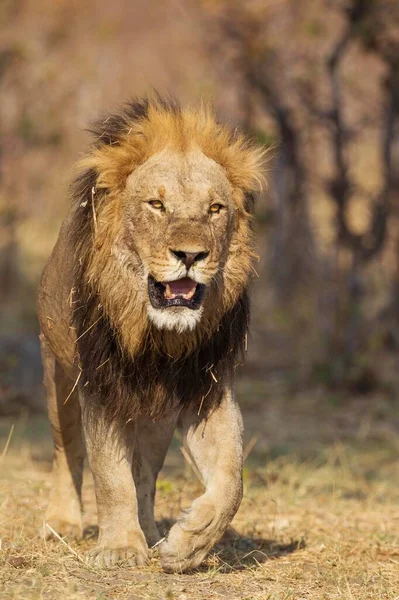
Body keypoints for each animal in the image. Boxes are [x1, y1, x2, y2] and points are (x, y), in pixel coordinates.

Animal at [37, 96, 268, 576]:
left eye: (215, 209)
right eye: (156, 205)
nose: (191, 255)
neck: (160, 338)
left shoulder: (206, 389)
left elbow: (231, 478)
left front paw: (189, 543)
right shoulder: (100, 388)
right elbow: (109, 475)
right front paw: (120, 548)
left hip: (155, 419)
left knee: (145, 476)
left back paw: (152, 531)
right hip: (59, 375)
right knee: (67, 452)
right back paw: (63, 522)